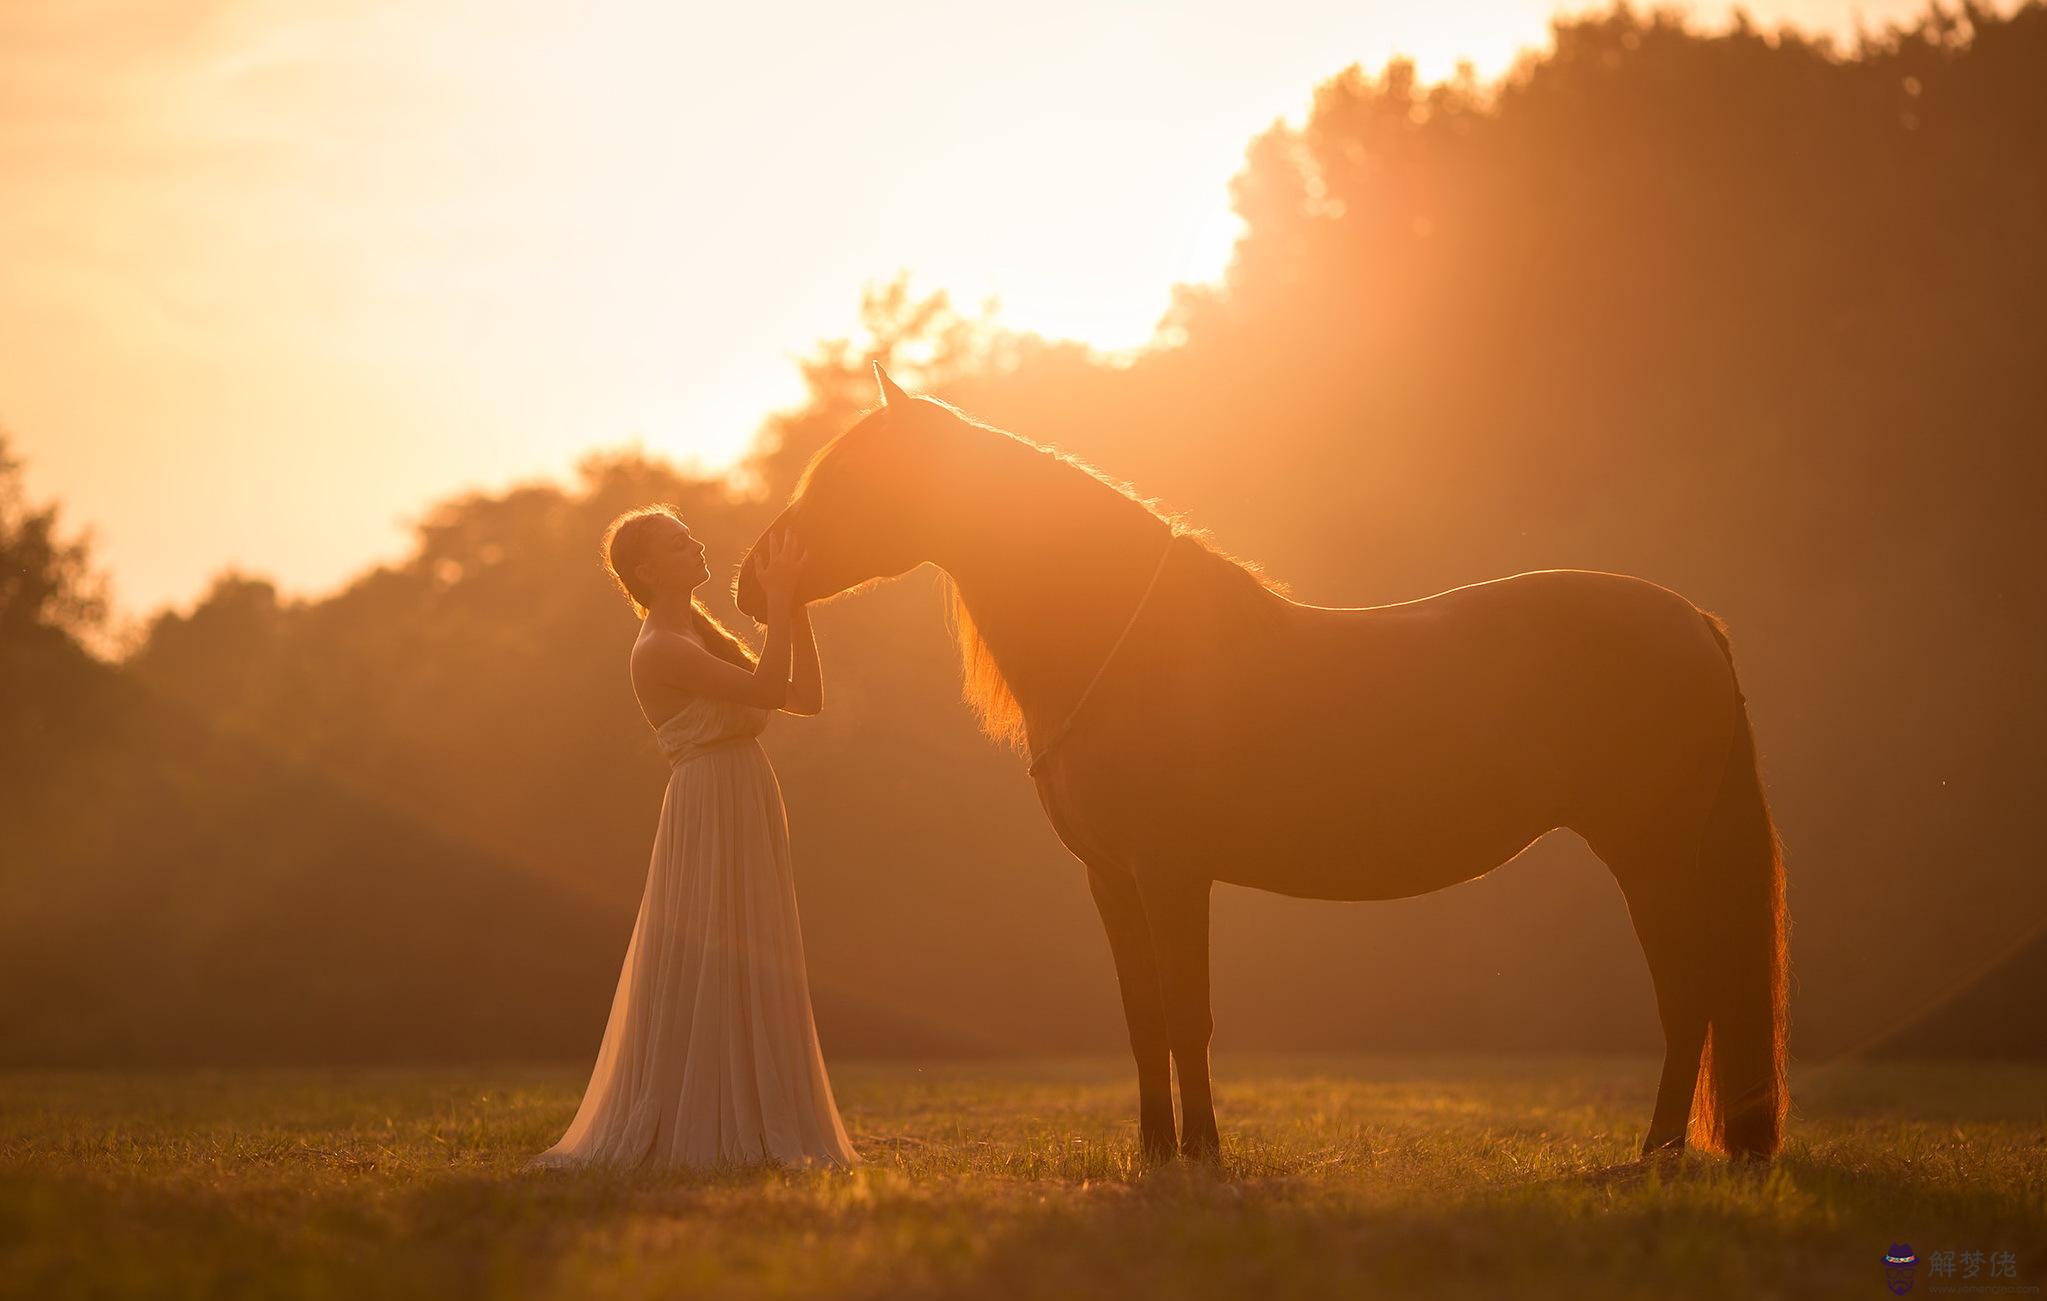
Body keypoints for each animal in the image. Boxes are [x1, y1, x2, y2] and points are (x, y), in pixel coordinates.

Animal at [732, 364, 1776, 1161]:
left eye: (851, 479)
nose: (749, 581)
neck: (1122, 650)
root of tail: (1693, 620)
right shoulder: (1111, 880)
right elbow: (1142, 1019)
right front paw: (1155, 1153)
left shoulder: (1171, 872)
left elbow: (1187, 1014)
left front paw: (1204, 1154)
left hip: (1648, 855)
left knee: (1688, 998)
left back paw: (1653, 1154)